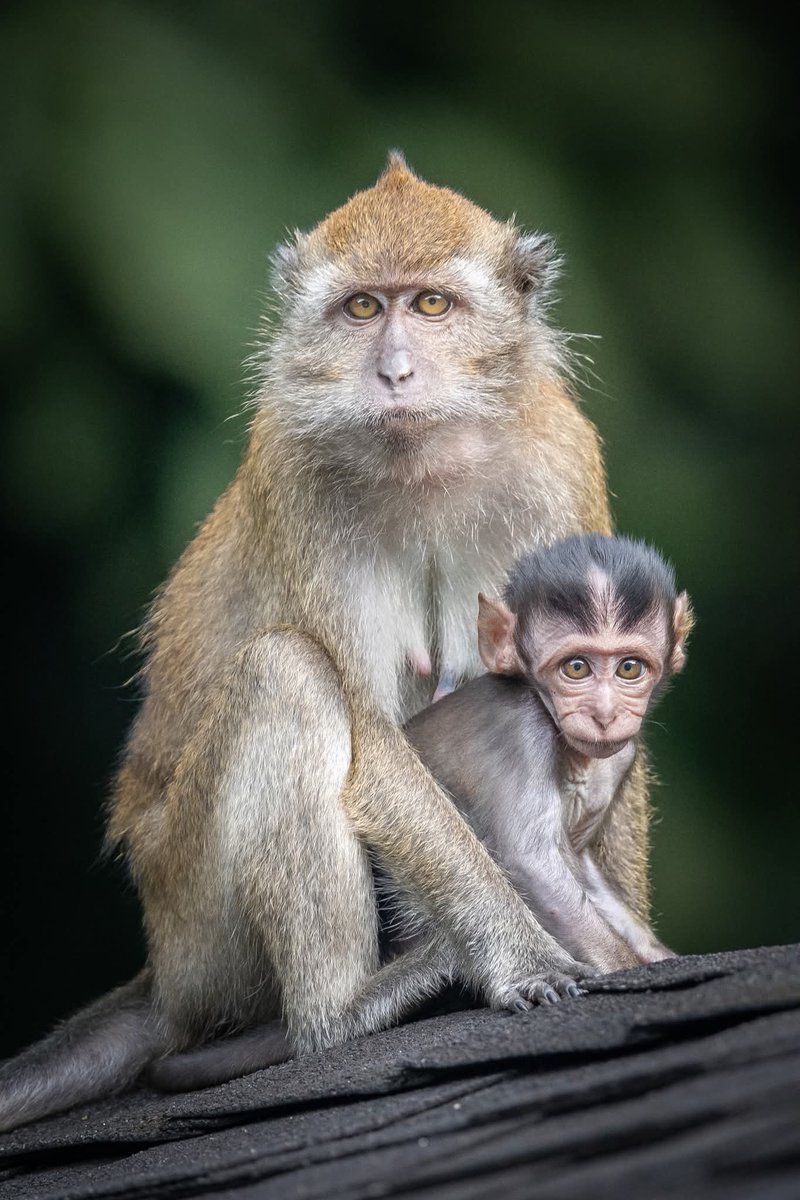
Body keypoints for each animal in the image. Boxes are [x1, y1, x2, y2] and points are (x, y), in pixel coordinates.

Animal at [0, 152, 650, 1131]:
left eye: (430, 305)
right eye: (362, 309)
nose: (393, 372)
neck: (425, 463)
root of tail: (164, 979)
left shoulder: (559, 462)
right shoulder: (295, 478)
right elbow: (371, 735)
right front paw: (522, 958)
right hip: (199, 924)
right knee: (287, 673)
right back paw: (341, 1013)